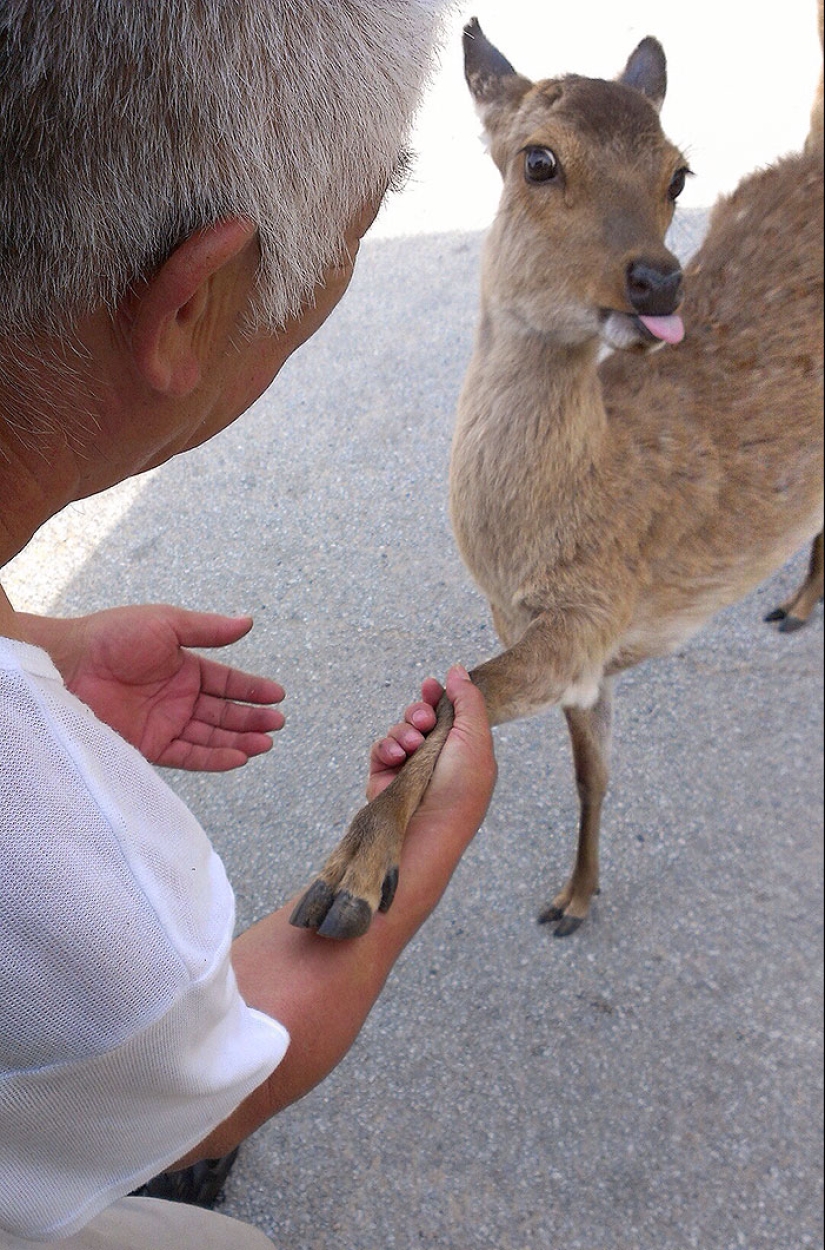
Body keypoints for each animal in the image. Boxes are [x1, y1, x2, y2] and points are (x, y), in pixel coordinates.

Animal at [288, 17, 820, 940]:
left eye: (676, 172)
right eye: (537, 160)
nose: (658, 280)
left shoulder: (587, 615)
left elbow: (459, 704)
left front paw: (346, 882)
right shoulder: (568, 647)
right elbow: (585, 771)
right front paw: (572, 899)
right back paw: (792, 605)